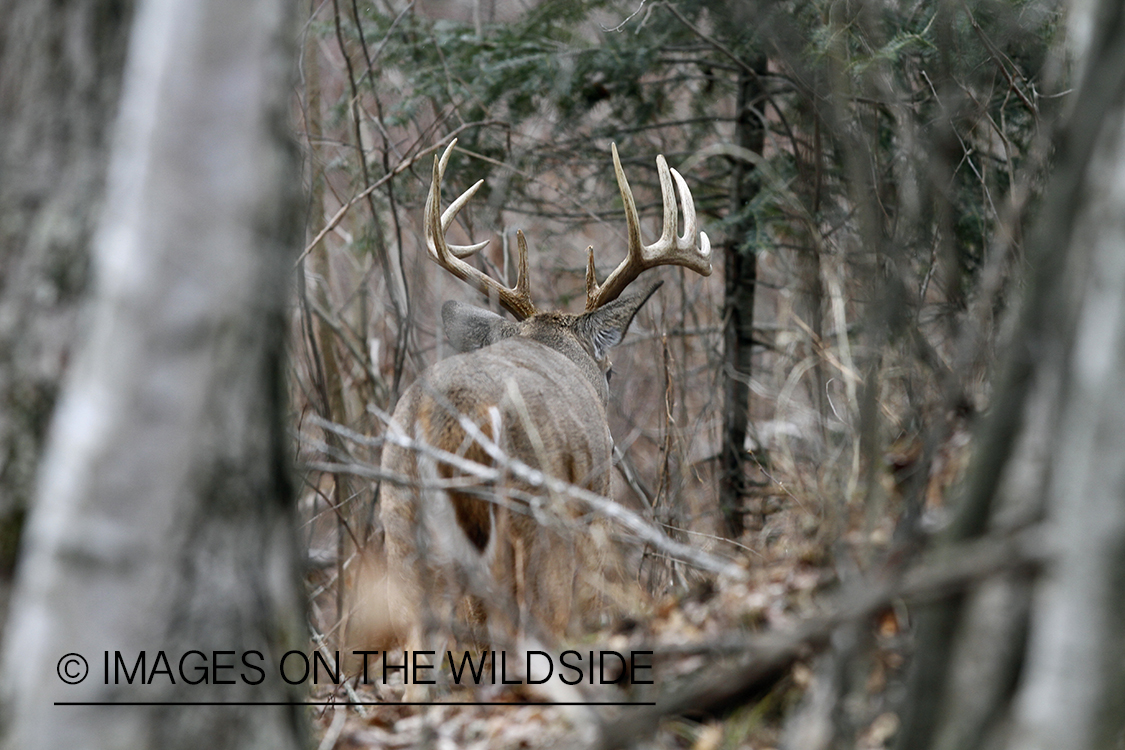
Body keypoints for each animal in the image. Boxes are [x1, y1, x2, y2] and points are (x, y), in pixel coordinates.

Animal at [378, 139, 711, 692]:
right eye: (612, 370)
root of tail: (446, 418)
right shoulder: (594, 507)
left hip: (399, 526)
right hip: (530, 516)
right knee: (529, 624)